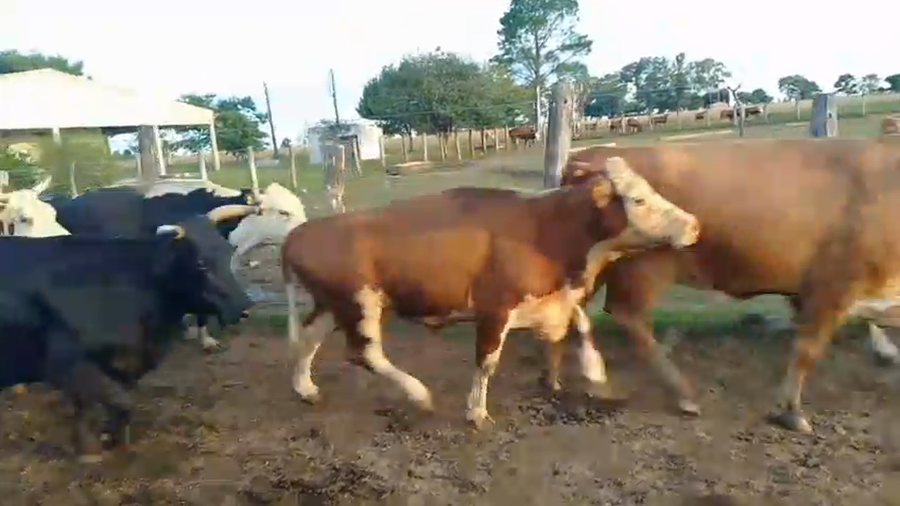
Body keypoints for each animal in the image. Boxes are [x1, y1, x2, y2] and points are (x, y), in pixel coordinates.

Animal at [0, 204, 255, 462]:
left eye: (230, 252)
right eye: (201, 262)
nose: (244, 307)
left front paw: (111, 439)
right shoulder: (68, 363)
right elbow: (118, 405)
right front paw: (90, 450)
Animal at [281, 157, 700, 429]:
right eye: (638, 199)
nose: (694, 225)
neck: (546, 228)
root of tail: (301, 232)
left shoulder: (549, 300)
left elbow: (581, 323)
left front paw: (595, 373)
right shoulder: (495, 308)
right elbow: (487, 363)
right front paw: (476, 413)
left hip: (332, 304)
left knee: (308, 339)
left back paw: (305, 388)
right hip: (359, 303)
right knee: (364, 354)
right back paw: (419, 394)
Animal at [558, 139, 900, 434]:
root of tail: (592, 155)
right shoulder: (832, 288)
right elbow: (807, 350)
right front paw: (791, 411)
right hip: (643, 269)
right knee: (628, 316)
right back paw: (680, 393)